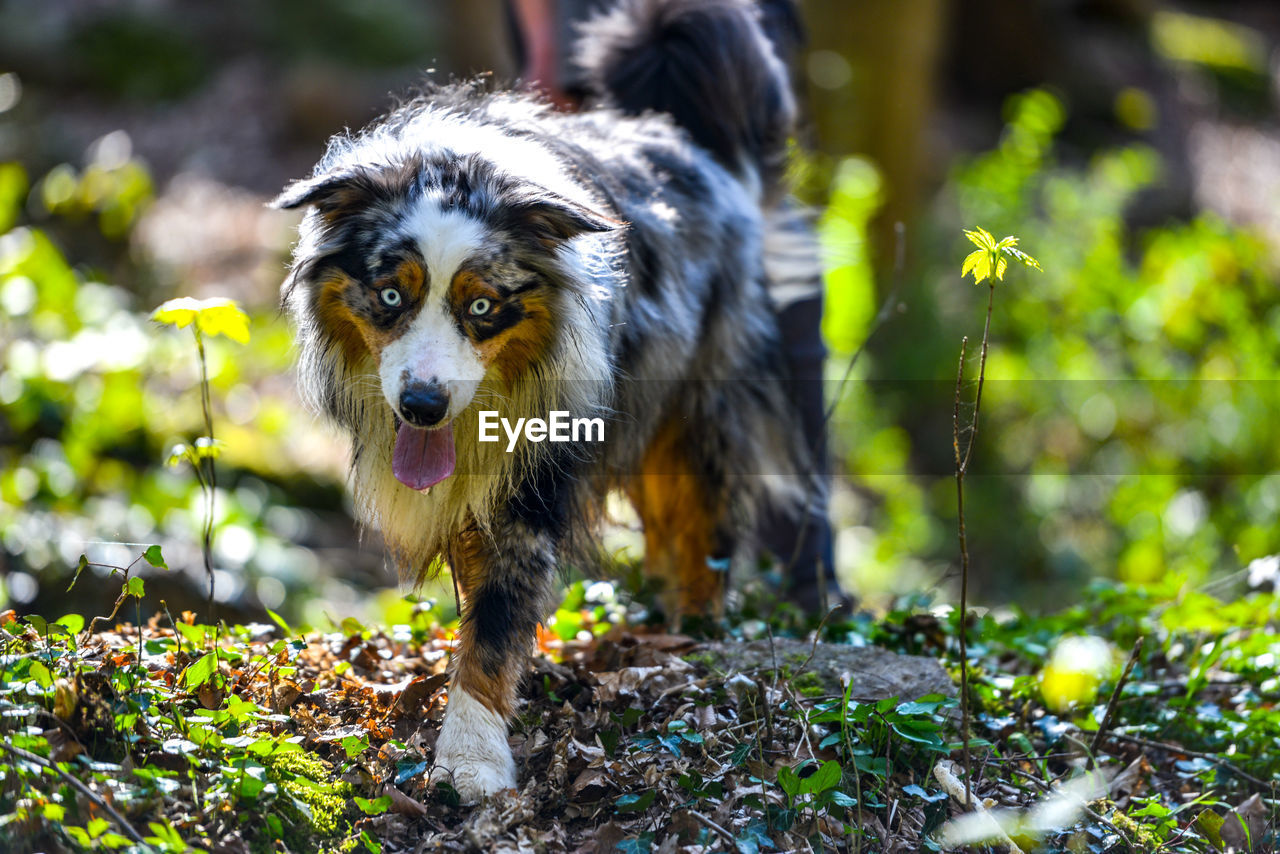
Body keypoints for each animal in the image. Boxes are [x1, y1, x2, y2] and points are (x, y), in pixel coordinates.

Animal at [277, 0, 819, 804]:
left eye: (481, 307)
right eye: (390, 296)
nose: (423, 406)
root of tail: (689, 137)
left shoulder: (536, 476)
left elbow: (498, 624)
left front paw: (469, 761)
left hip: (700, 398)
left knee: (702, 516)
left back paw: (693, 631)